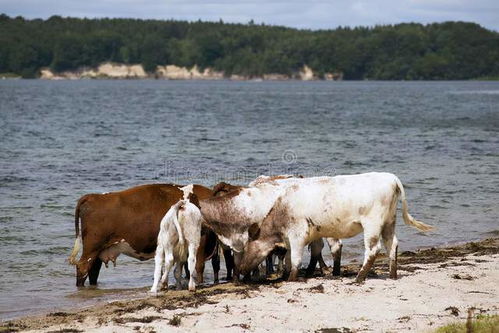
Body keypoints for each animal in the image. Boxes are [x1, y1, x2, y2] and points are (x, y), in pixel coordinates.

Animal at [67, 183, 217, 284]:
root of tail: (92, 197)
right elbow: (197, 265)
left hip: (98, 251)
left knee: (93, 271)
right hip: (92, 249)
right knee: (82, 268)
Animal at [238, 172, 434, 282]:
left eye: (246, 247)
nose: (241, 269)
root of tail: (391, 178)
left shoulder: (297, 235)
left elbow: (295, 259)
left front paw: (291, 278)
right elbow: (300, 255)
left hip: (372, 224)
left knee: (373, 249)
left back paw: (359, 278)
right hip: (389, 222)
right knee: (391, 244)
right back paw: (392, 275)